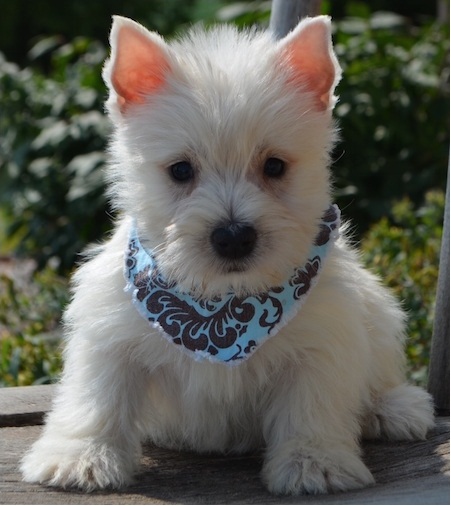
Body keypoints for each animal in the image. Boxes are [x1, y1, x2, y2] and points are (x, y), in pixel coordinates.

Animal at [21, 15, 434, 495]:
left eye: (274, 166)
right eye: (181, 170)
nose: (234, 236)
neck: (222, 304)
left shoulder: (322, 344)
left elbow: (312, 405)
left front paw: (314, 462)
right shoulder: (110, 336)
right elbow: (98, 398)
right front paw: (81, 457)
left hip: (378, 311)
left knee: (379, 372)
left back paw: (393, 407)